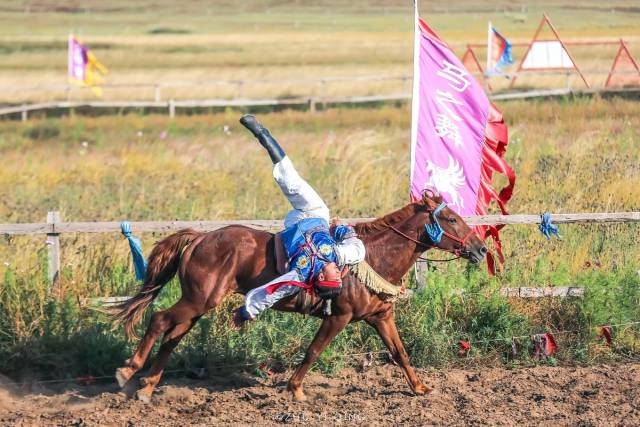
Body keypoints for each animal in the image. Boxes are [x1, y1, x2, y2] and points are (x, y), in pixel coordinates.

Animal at [114, 193, 484, 402]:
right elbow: (314, 351)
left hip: (197, 304)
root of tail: (199, 238)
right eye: (451, 218)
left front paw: (420, 388)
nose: (480, 248)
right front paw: (295, 389)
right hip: (199, 300)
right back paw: (129, 370)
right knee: (159, 320)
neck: (372, 256)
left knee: (172, 337)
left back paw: (147, 387)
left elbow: (400, 352)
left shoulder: (381, 317)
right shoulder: (339, 317)